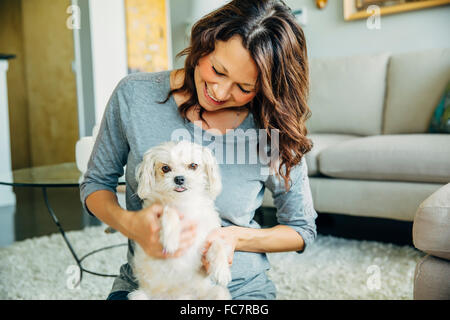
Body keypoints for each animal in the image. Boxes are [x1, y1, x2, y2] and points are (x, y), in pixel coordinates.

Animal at [127, 140, 232, 300]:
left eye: (193, 165)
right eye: (165, 168)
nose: (179, 178)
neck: (183, 202)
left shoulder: (208, 234)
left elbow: (218, 244)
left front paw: (222, 270)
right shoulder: (155, 211)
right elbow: (169, 210)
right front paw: (171, 240)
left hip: (218, 293)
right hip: (138, 296)